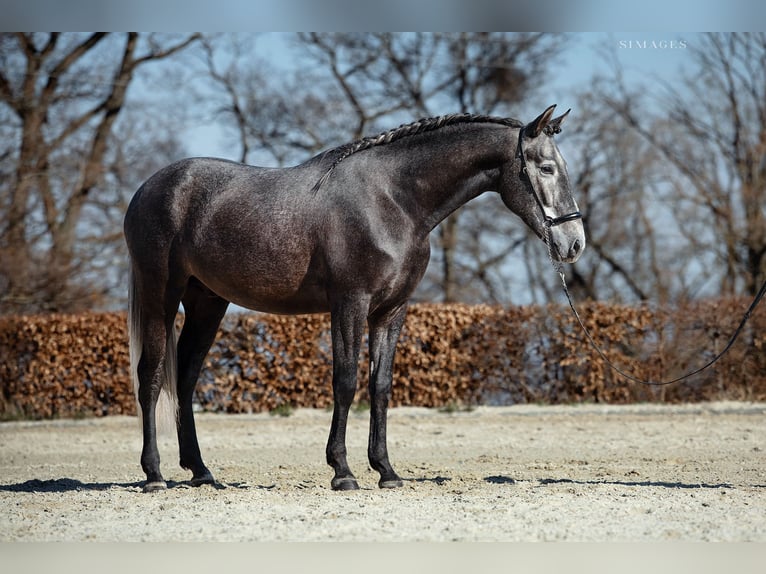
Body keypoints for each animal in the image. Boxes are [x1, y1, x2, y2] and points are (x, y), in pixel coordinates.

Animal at [123, 104, 585, 493]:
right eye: (546, 168)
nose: (574, 243)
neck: (393, 200)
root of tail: (147, 189)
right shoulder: (350, 304)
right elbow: (345, 382)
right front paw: (342, 472)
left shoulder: (390, 311)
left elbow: (380, 386)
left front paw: (386, 471)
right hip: (160, 294)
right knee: (151, 375)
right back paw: (154, 475)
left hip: (208, 302)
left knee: (185, 377)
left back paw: (201, 472)